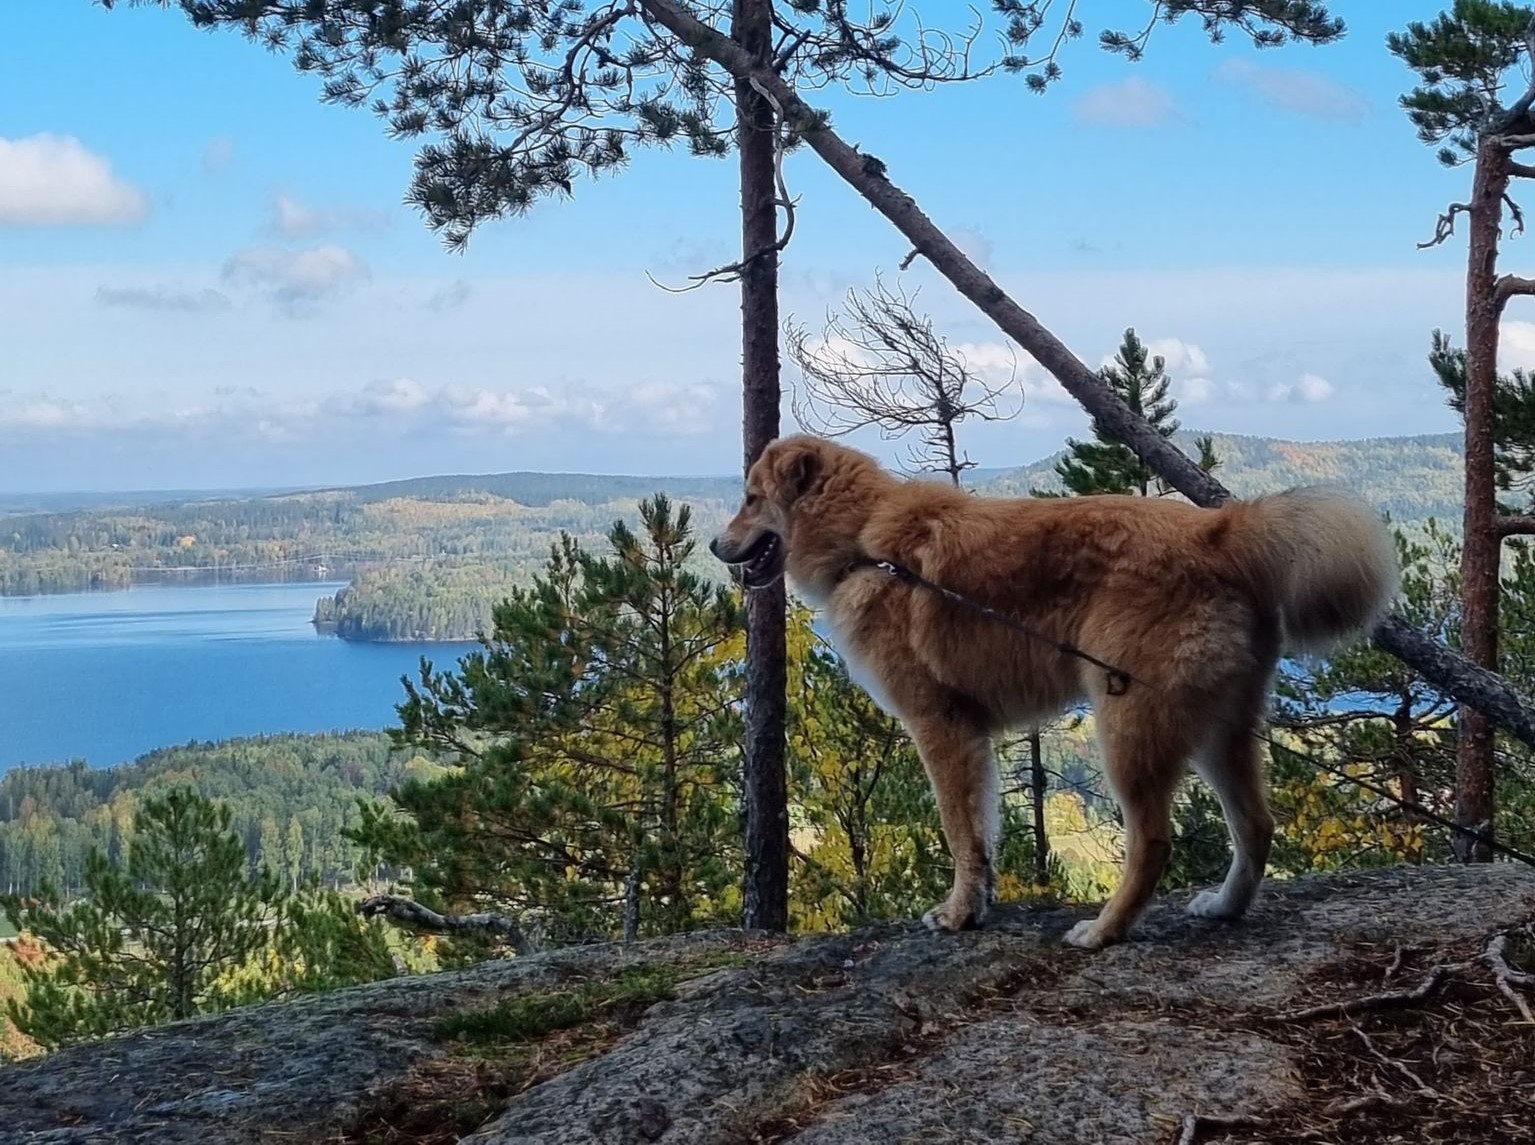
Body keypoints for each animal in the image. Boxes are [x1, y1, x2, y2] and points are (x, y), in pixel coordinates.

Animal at [709, 432, 1406, 939]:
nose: (715, 545)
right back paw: (1225, 908)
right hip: (1216, 730)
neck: (864, 542)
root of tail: (1220, 531)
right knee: (1257, 825)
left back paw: (1104, 931)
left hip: (1127, 724)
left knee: (1154, 842)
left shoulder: (941, 729)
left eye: (750, 498)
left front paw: (958, 913)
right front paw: (977, 906)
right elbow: (983, 834)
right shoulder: (970, 738)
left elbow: (961, 833)